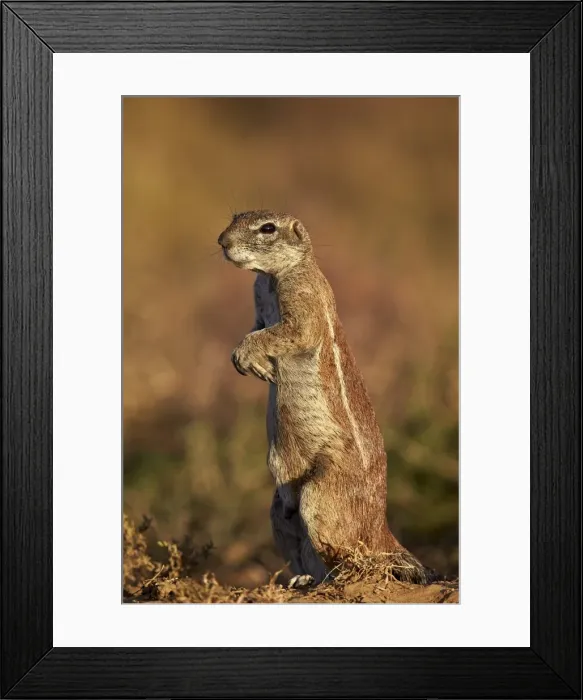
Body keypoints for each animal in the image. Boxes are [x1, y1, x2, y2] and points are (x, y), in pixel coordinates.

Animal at [218, 211, 433, 587]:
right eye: (234, 217)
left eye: (268, 228)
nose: (222, 242)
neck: (271, 277)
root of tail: (382, 530)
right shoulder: (258, 300)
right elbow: (257, 327)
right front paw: (252, 363)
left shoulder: (301, 300)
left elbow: (289, 331)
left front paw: (247, 355)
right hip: (279, 510)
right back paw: (304, 580)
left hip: (321, 495)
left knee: (352, 557)